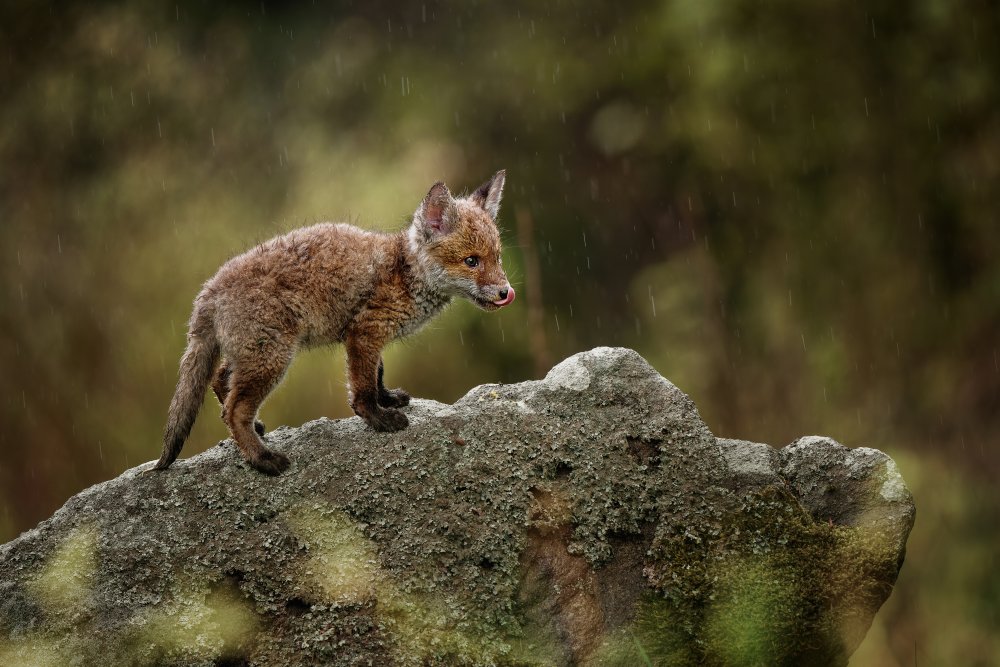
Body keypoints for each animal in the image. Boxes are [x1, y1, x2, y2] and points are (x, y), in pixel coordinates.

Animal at [157, 172, 520, 474]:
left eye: (497, 258)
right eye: (471, 261)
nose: (507, 292)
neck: (405, 273)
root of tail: (209, 289)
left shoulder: (368, 337)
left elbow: (378, 375)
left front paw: (387, 399)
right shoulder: (364, 333)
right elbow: (362, 389)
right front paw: (377, 418)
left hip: (252, 354)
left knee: (221, 383)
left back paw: (254, 433)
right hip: (271, 358)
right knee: (234, 410)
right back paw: (261, 459)